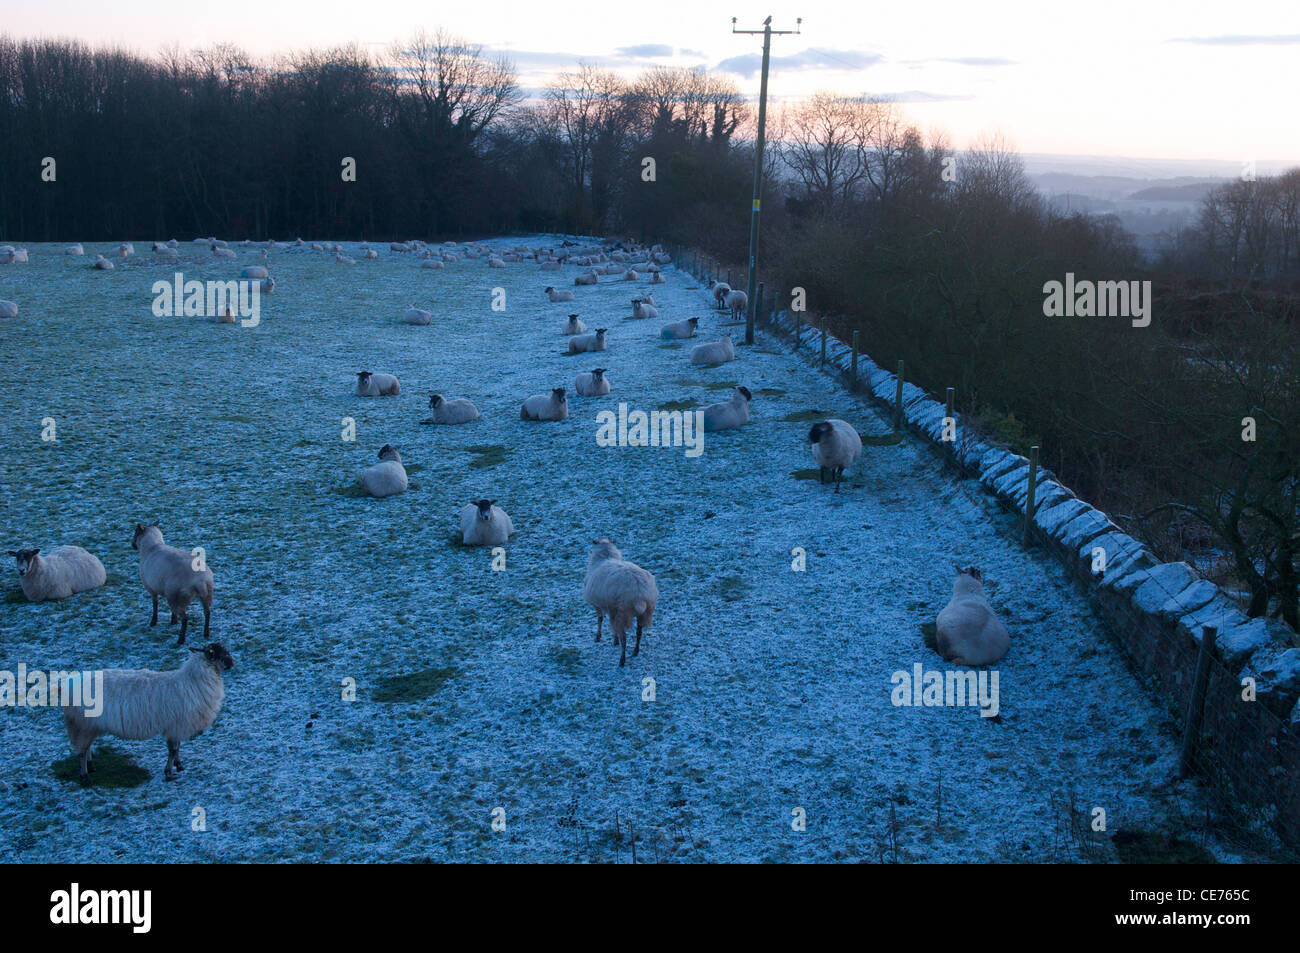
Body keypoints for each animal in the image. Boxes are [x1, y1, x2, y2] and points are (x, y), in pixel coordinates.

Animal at [63, 642, 235, 783]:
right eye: (219, 653)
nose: (233, 663)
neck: (193, 681)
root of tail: (68, 685)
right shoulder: (175, 725)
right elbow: (172, 750)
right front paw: (169, 773)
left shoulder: (177, 727)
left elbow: (178, 747)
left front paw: (179, 765)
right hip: (83, 724)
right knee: (81, 751)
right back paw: (84, 775)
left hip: (90, 725)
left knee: (86, 747)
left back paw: (91, 767)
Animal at [582, 538, 658, 667]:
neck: (605, 557)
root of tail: (640, 592)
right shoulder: (611, 609)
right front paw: (614, 639)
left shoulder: (598, 605)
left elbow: (600, 619)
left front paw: (598, 637)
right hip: (645, 613)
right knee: (639, 633)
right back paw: (635, 651)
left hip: (623, 613)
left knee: (625, 637)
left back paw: (622, 660)